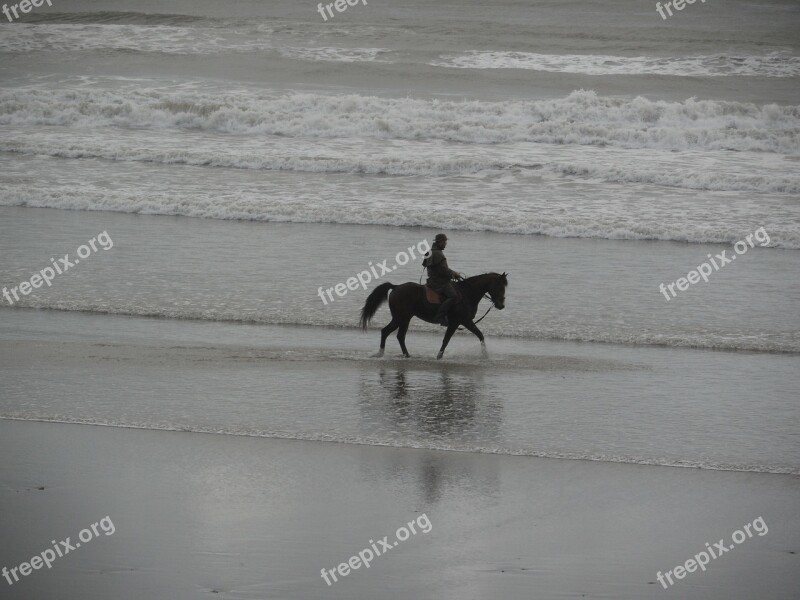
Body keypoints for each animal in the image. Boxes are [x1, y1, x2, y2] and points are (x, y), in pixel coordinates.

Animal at [360, 274, 506, 360]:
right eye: (500, 286)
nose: (501, 305)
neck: (467, 293)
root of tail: (396, 287)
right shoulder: (458, 322)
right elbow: (446, 340)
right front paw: (439, 356)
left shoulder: (466, 322)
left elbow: (480, 335)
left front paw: (485, 355)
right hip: (400, 318)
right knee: (388, 332)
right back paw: (382, 354)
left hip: (404, 318)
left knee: (398, 335)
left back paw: (405, 355)